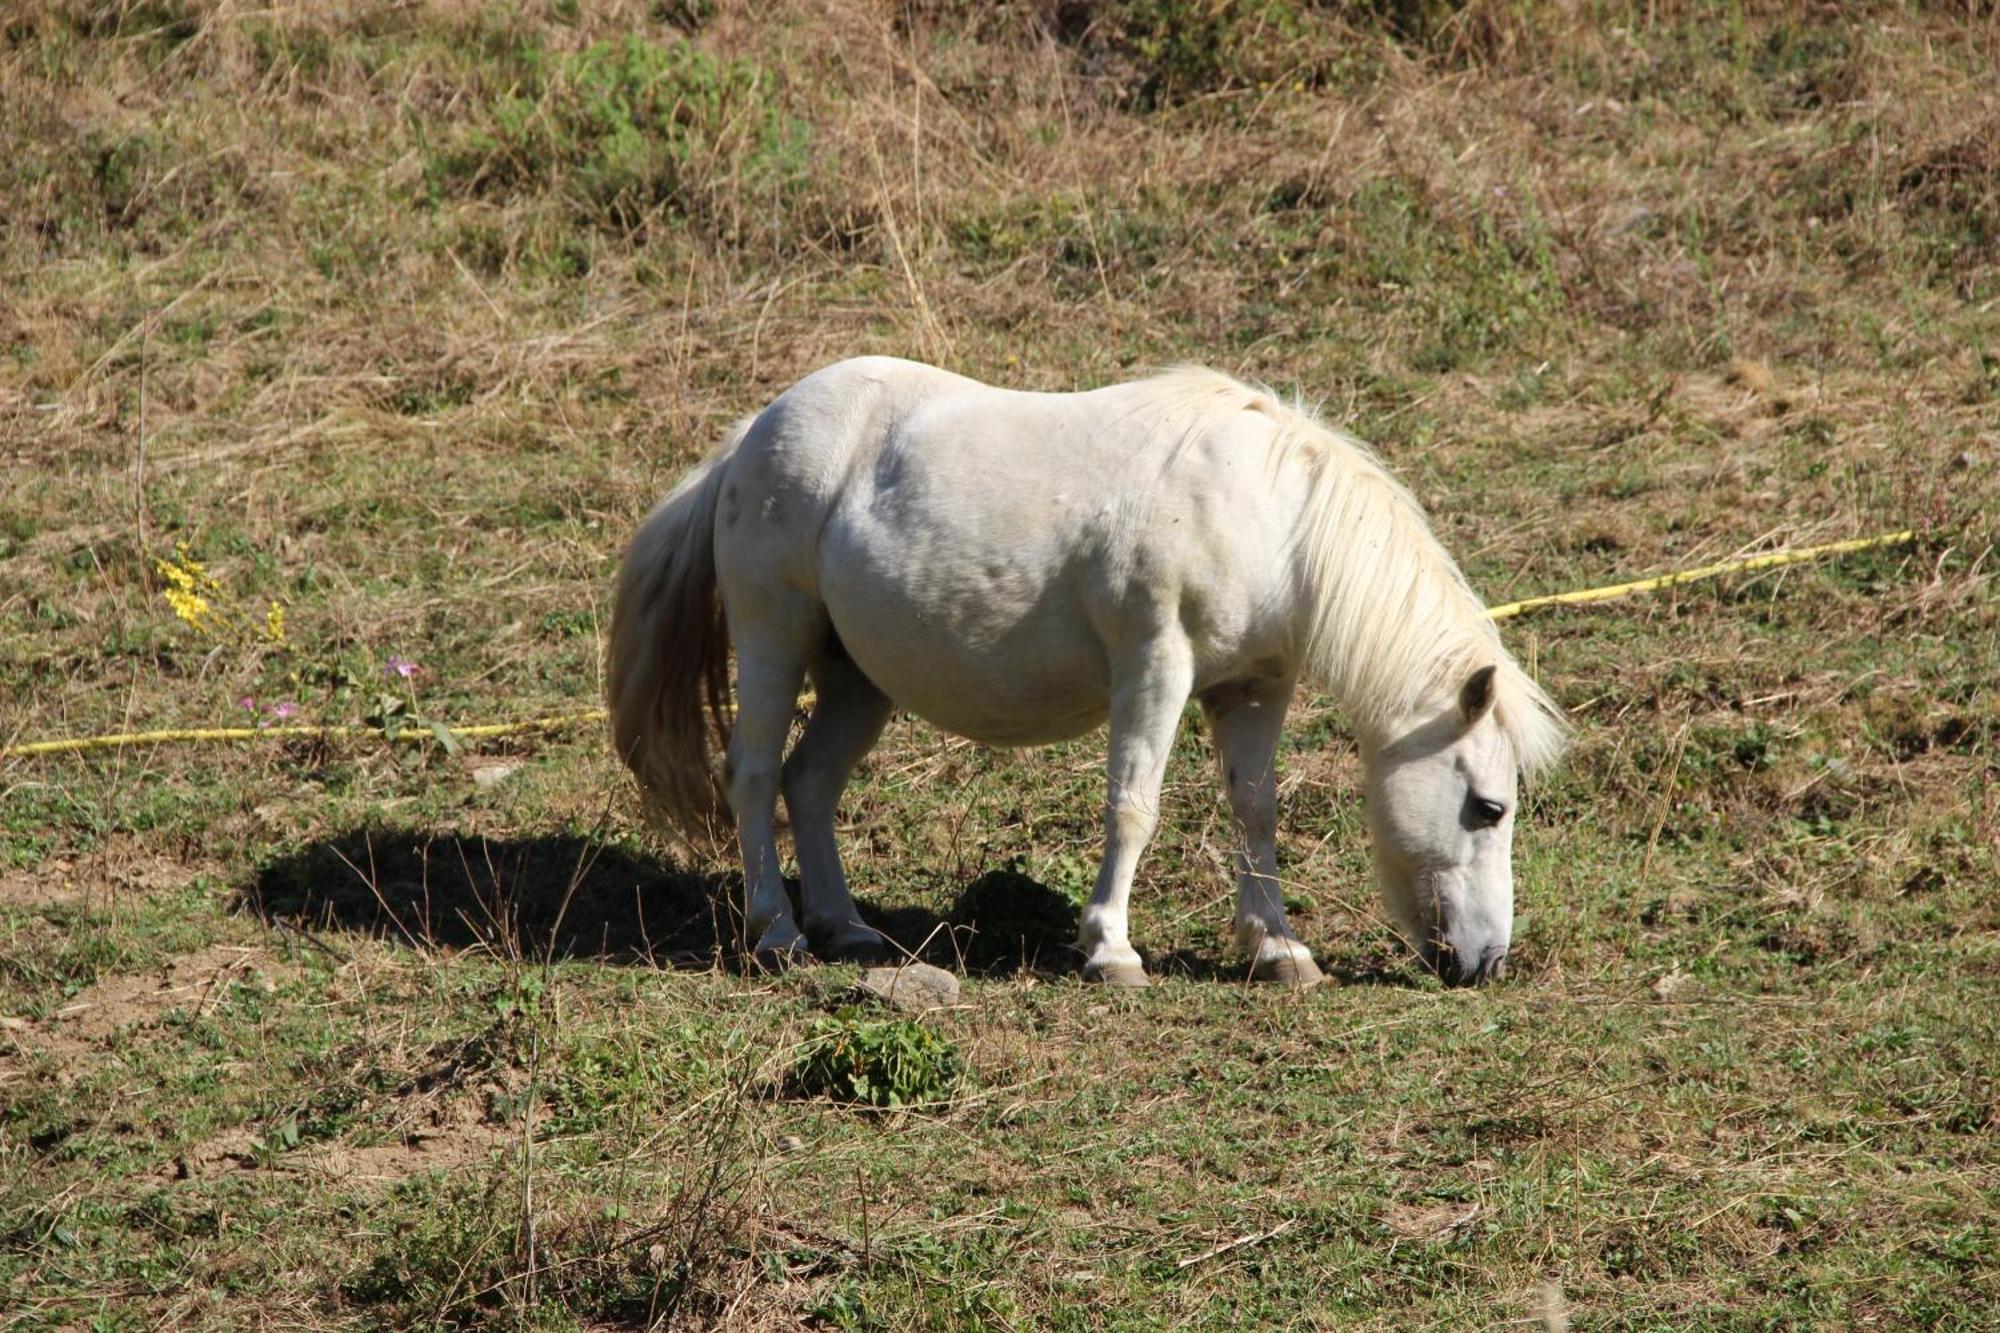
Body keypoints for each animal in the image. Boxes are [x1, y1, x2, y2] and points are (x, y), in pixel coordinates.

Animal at [604, 358, 1560, 980]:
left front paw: (1277, 947)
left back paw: (847, 928)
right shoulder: (1156, 666)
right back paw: (779, 932)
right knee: (755, 772)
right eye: (1488, 806)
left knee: (808, 781)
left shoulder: (1253, 688)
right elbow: (1134, 806)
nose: (1486, 960)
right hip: (775, 638)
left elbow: (1254, 810)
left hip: (857, 678)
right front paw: (1111, 948)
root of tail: (750, 436)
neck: (1269, 516)